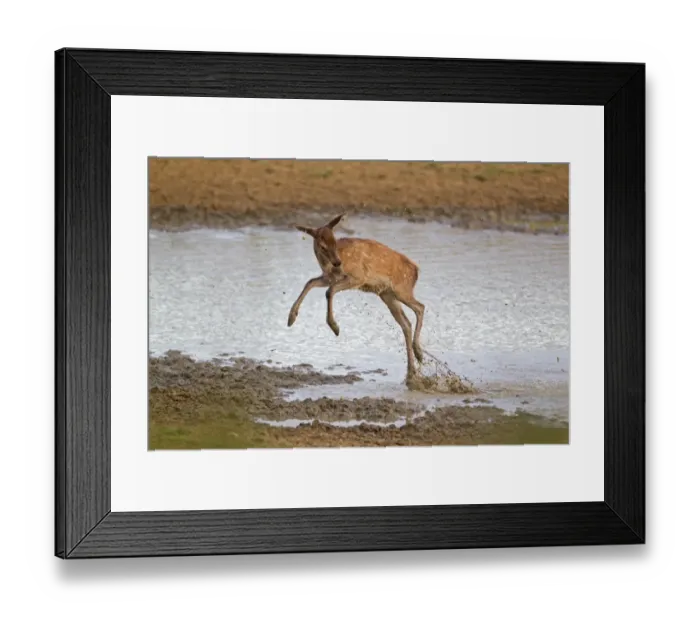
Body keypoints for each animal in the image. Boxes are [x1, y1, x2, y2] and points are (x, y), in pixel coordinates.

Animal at [287, 214, 426, 381]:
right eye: (322, 246)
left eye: (334, 240)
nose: (337, 262)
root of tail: (416, 271)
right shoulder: (329, 277)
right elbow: (310, 282)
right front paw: (291, 318)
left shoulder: (358, 277)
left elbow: (329, 291)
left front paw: (335, 327)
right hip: (388, 296)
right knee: (406, 324)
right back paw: (412, 368)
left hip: (402, 290)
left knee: (420, 307)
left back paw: (419, 353)